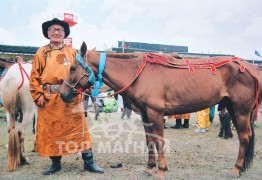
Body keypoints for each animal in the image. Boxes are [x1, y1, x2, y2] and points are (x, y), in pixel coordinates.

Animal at [59, 42, 262, 179]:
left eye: (72, 68)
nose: (62, 93)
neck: (139, 75)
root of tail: (250, 67)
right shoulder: (146, 115)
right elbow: (150, 140)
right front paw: (149, 167)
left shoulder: (156, 114)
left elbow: (159, 141)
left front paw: (161, 170)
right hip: (232, 108)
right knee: (244, 136)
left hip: (241, 110)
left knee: (245, 137)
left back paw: (236, 169)